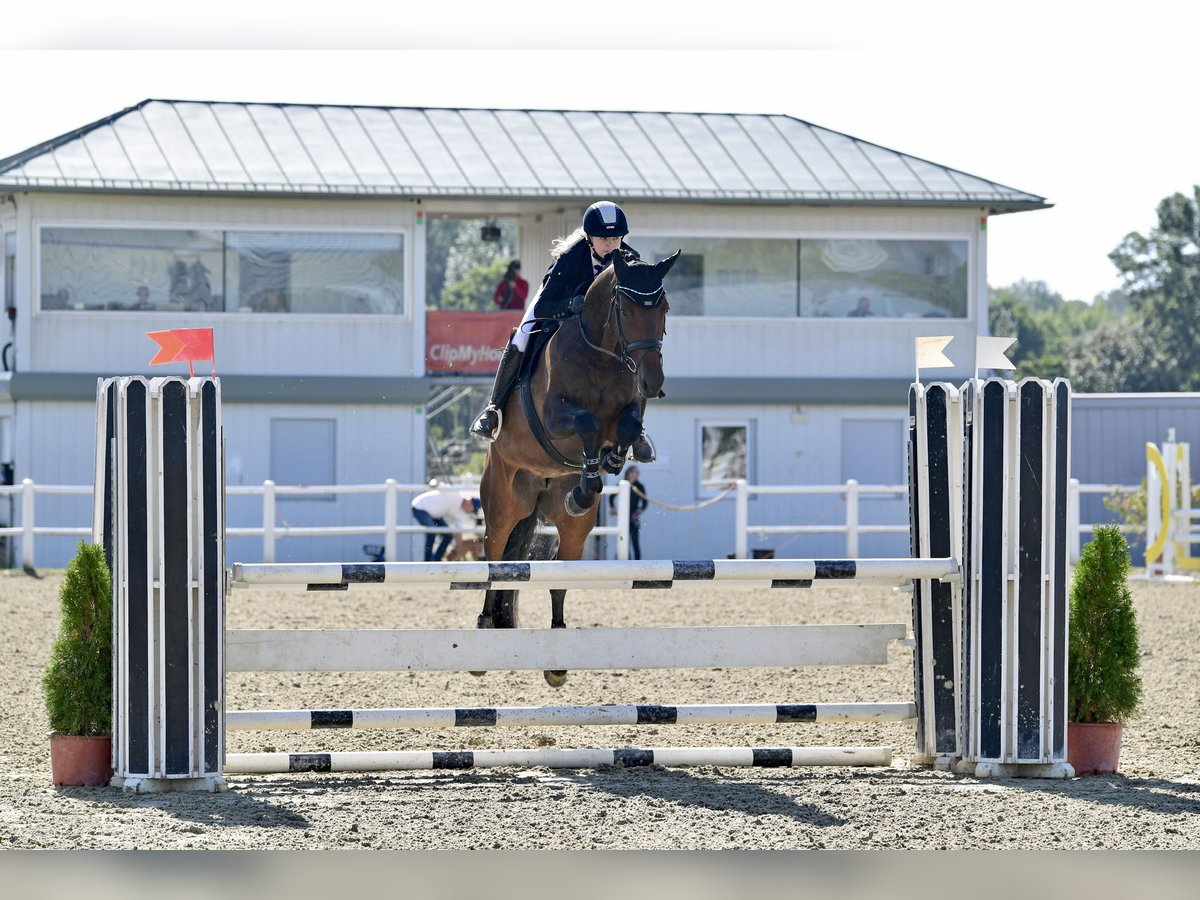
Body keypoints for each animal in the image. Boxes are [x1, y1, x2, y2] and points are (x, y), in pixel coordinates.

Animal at [480, 250, 686, 686]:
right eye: (624, 309)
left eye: (664, 308)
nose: (653, 382)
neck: (601, 355)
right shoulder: (554, 417)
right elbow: (587, 422)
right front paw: (592, 474)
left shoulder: (629, 408)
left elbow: (626, 427)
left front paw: (606, 465)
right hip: (503, 503)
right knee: (495, 559)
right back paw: (484, 627)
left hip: (572, 530)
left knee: (561, 574)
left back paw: (558, 659)